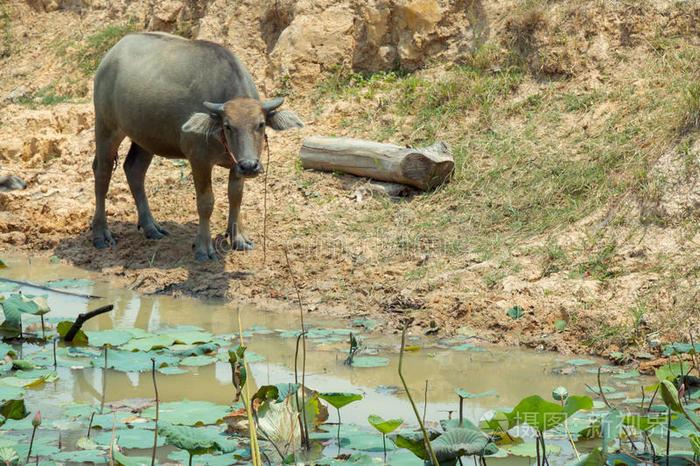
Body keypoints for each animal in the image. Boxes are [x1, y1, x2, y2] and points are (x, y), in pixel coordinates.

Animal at [91, 31, 302, 260]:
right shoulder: (199, 159)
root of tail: (111, 54)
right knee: (102, 173)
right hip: (106, 127)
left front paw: (238, 238)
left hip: (144, 137)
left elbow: (236, 196)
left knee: (134, 170)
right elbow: (206, 202)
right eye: (228, 126)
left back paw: (151, 227)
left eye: (261, 124)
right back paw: (100, 233)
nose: (249, 166)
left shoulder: (235, 164)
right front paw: (203, 247)